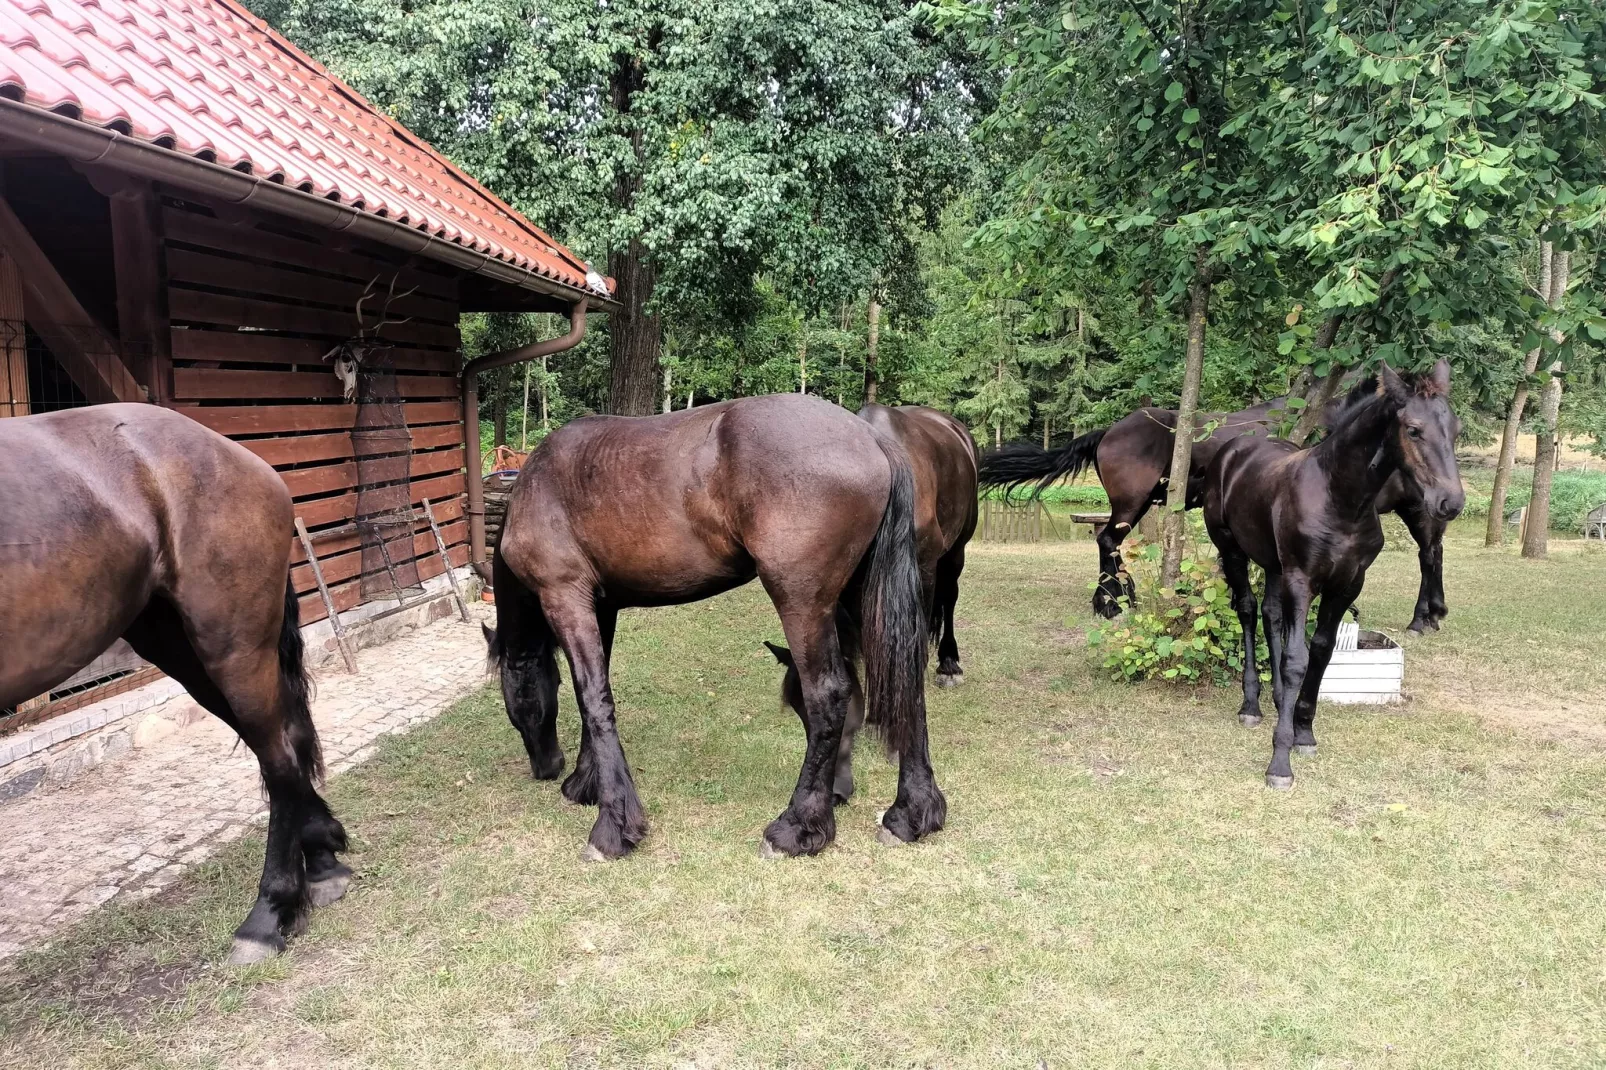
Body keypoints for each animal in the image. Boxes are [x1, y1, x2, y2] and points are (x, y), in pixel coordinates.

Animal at [0, 404, 350, 963]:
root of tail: (247, 459)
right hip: (182, 650)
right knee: (288, 741)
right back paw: (320, 862)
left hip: (231, 649)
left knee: (277, 759)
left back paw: (266, 916)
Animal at [481, 392, 944, 861]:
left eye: (515, 699)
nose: (546, 766)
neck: (539, 486)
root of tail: (870, 437)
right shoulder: (602, 607)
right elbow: (595, 693)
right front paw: (585, 784)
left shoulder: (566, 598)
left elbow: (593, 699)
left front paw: (612, 827)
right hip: (864, 595)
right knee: (907, 684)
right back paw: (911, 814)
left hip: (802, 601)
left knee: (829, 694)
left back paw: (798, 826)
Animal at [764, 400, 976, 800]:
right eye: (798, 709)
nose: (833, 791)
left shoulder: (921, 571)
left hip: (957, 549)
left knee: (951, 596)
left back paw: (949, 664)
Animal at [976, 392, 1458, 629]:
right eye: (1414, 432)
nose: (1449, 498)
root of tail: (1111, 430)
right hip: (1131, 503)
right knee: (1109, 539)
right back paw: (1113, 603)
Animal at [1207, 363, 1471, 787]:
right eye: (1413, 430)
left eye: (1456, 428)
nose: (1451, 502)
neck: (1340, 499)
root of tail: (1233, 451)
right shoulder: (1303, 579)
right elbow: (1296, 659)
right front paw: (1280, 763)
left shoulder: (1347, 584)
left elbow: (1321, 650)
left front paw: (1303, 732)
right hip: (1232, 549)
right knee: (1247, 610)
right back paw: (1251, 705)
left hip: (1274, 564)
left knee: (1270, 613)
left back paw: (1278, 699)